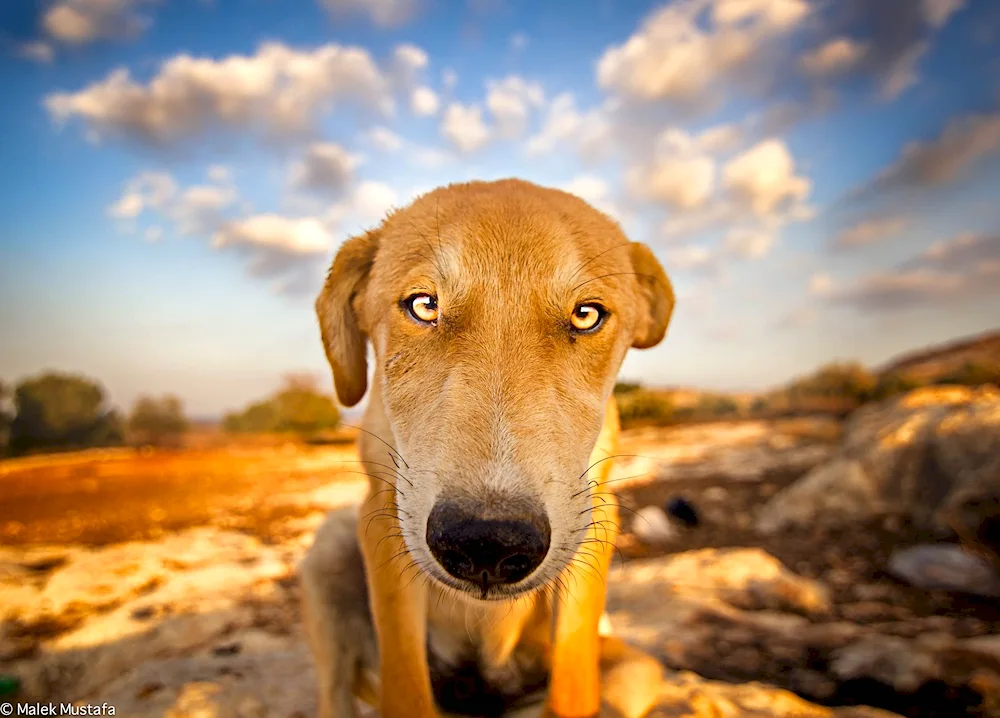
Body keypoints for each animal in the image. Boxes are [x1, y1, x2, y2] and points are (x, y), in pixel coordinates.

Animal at [296, 179, 672, 718]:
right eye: (423, 306)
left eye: (586, 315)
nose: (488, 544)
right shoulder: (383, 516)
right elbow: (406, 688)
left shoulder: (596, 519)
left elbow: (572, 688)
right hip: (329, 552)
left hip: (634, 669)